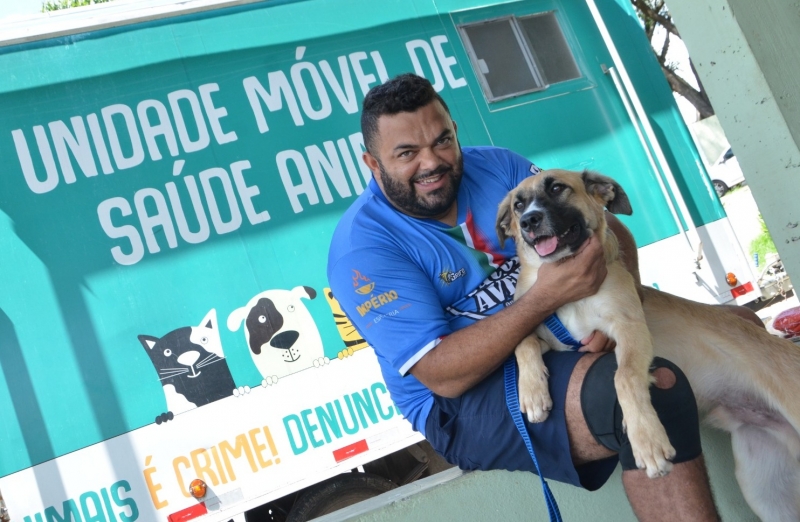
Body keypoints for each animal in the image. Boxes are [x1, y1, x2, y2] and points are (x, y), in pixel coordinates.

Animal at [496, 170, 800, 516]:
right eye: (518, 205)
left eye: (558, 187)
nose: (529, 221)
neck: (571, 295)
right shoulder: (549, 335)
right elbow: (522, 342)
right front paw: (532, 392)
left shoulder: (630, 329)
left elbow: (624, 377)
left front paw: (647, 441)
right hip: (767, 492)